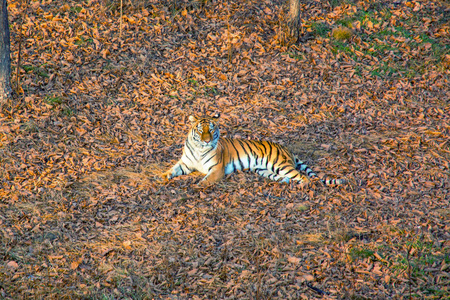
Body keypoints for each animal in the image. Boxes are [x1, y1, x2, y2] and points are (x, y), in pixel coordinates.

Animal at [161, 113, 344, 188]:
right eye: (201, 130)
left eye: (211, 130)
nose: (207, 140)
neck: (199, 149)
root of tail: (286, 148)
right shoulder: (186, 163)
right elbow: (172, 169)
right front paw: (162, 176)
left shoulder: (217, 169)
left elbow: (207, 179)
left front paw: (198, 186)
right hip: (263, 169)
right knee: (286, 177)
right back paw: (286, 182)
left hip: (280, 165)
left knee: (304, 177)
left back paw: (301, 186)